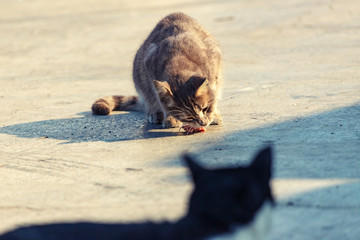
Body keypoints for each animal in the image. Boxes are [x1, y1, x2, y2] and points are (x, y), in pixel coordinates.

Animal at [92, 12, 222, 132]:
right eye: (189, 117)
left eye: (205, 108)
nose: (203, 123)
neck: (179, 60)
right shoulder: (149, 68)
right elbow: (162, 101)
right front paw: (170, 117)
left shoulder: (214, 67)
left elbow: (214, 93)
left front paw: (214, 114)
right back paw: (155, 113)